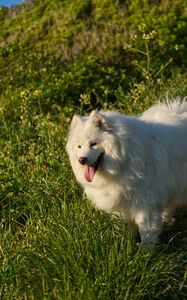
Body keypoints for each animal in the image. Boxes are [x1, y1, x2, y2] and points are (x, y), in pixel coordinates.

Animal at [66, 99, 187, 245]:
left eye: (93, 144)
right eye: (79, 146)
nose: (82, 160)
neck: (124, 160)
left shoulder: (146, 203)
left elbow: (147, 231)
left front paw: (146, 249)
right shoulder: (120, 205)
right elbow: (122, 228)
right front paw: (122, 244)